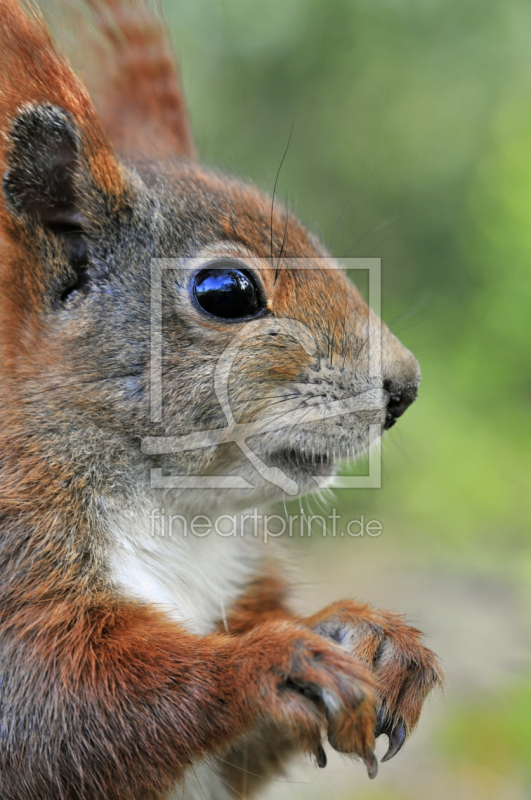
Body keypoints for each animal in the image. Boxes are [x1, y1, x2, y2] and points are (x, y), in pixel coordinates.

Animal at [0, 0, 442, 796]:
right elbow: (57, 711)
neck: (179, 516)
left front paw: (371, 635)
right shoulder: (17, 567)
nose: (405, 386)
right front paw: (269, 663)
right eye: (225, 292)